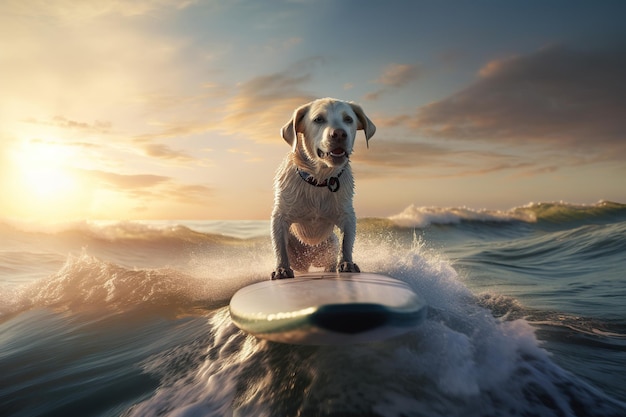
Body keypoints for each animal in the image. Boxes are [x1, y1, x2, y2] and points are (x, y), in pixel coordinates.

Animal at [270, 97, 376, 278]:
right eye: (318, 119)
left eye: (348, 119)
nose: (339, 134)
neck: (320, 179)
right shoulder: (280, 215)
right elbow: (280, 246)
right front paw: (281, 269)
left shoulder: (346, 213)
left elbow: (346, 241)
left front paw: (347, 263)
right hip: (298, 259)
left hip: (329, 247)